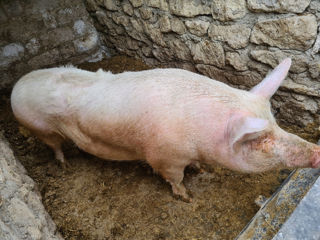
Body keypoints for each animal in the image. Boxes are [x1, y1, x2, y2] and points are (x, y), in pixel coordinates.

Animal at [10, 58, 320, 201]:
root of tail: (16, 86)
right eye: (261, 139)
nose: (317, 152)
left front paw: (201, 170)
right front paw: (186, 197)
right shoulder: (164, 157)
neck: (200, 134)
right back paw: (64, 166)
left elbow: (194, 167)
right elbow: (174, 178)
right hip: (40, 128)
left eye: (276, 124)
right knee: (55, 146)